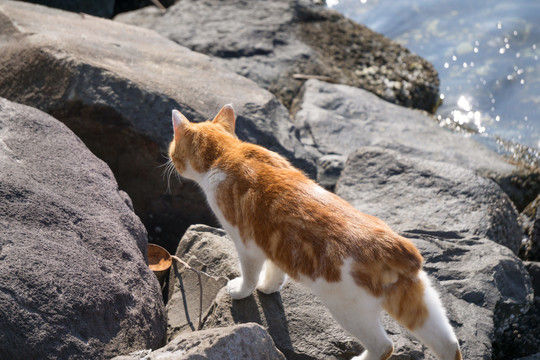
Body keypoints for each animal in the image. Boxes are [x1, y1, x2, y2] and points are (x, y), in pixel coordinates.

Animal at [167, 104, 462, 360]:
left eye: (172, 149)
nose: (170, 162)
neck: (228, 153)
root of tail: (393, 245)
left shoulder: (247, 244)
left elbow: (249, 277)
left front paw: (240, 290)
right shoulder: (273, 243)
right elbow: (275, 271)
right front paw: (268, 287)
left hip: (348, 309)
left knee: (384, 346)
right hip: (422, 303)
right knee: (450, 344)